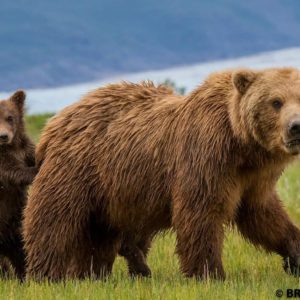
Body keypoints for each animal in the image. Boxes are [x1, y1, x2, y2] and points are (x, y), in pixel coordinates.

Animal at [23, 68, 300, 282]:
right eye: (276, 101)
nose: (295, 126)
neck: (242, 146)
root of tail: (54, 122)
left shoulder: (255, 179)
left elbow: (263, 214)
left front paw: (294, 254)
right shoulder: (206, 159)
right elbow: (201, 214)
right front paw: (209, 274)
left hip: (110, 195)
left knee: (100, 235)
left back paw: (93, 273)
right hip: (77, 171)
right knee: (53, 221)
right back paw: (46, 274)